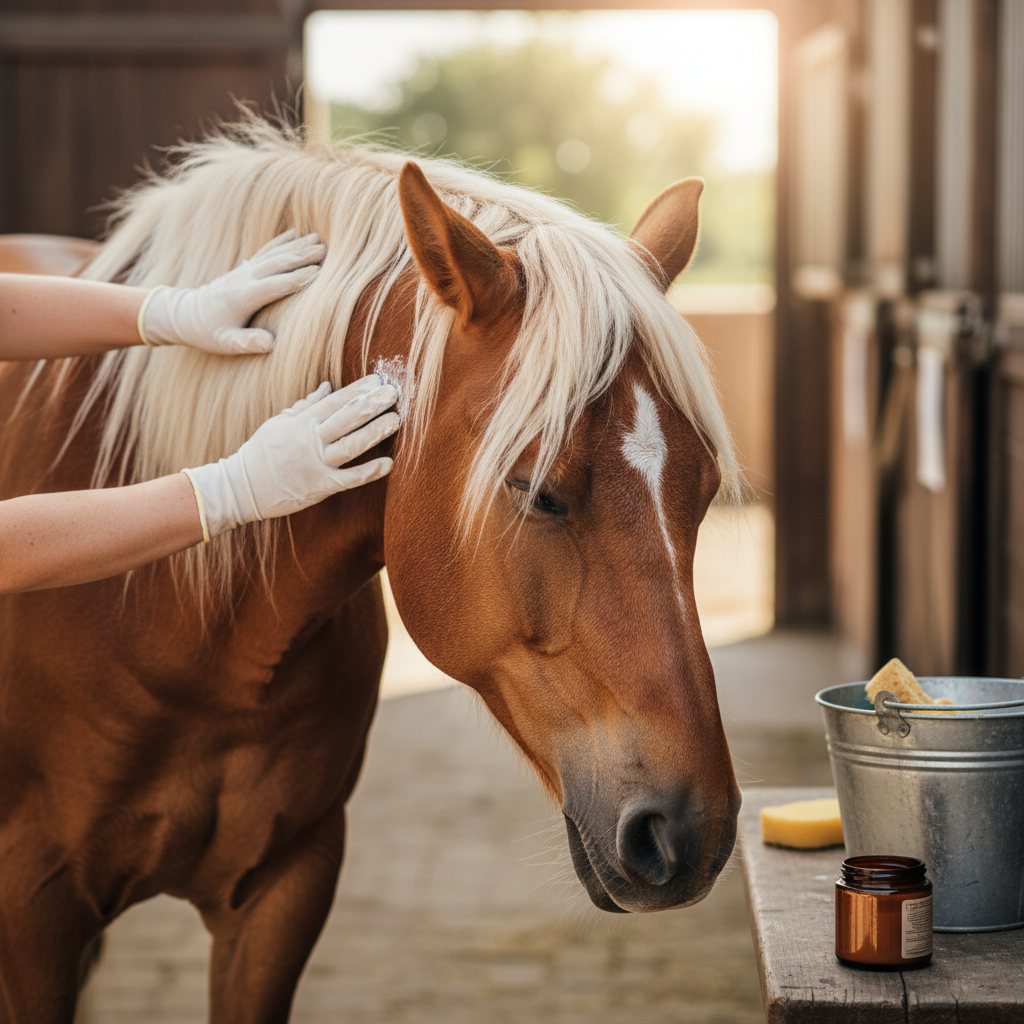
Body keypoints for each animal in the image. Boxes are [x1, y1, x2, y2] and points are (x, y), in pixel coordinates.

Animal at [0, 117, 741, 1022]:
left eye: (702, 491)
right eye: (539, 491)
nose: (690, 832)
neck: (173, 619)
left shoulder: (286, 886)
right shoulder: (31, 907)